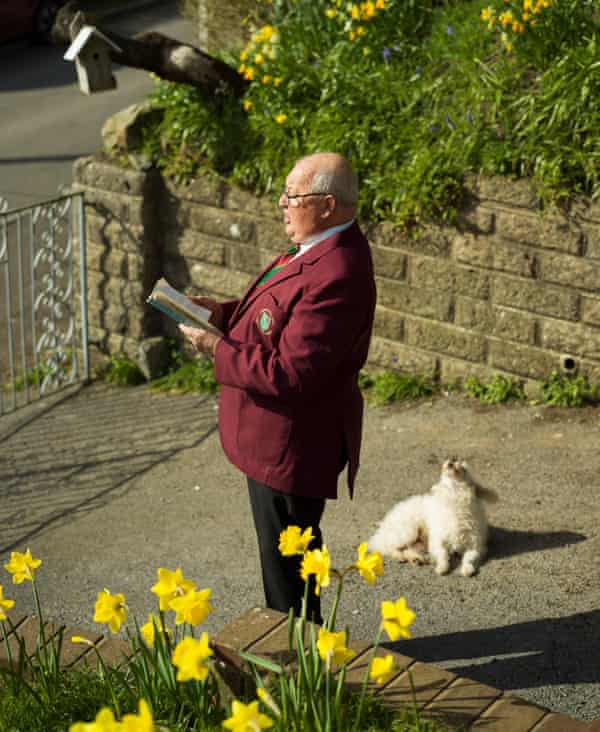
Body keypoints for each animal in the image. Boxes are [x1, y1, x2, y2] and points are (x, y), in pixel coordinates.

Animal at [368, 458, 500, 576]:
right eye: (453, 461)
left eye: (463, 467)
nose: (452, 460)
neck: (454, 496)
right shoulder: (437, 541)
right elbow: (443, 554)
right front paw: (442, 567)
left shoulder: (475, 545)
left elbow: (469, 558)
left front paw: (467, 569)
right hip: (408, 532)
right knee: (388, 546)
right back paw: (400, 556)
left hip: (419, 541)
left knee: (407, 549)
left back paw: (416, 559)